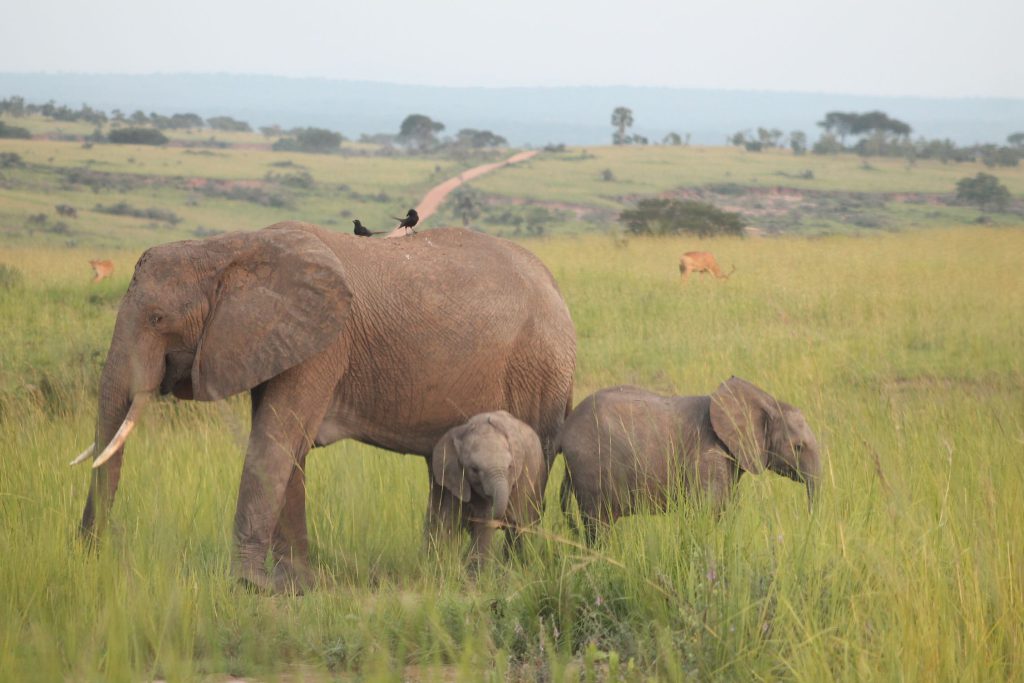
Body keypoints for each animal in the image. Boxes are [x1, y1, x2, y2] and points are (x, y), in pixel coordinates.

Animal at [430, 411, 548, 561]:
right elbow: (450, 520)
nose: (503, 517)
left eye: (510, 467)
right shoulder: (456, 479)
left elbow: (484, 528)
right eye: (474, 469)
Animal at [557, 376, 819, 540]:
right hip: (590, 466)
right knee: (599, 528)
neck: (765, 400)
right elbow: (705, 511)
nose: (808, 525)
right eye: (798, 447)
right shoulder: (707, 453)